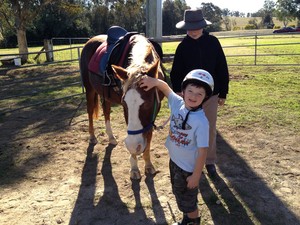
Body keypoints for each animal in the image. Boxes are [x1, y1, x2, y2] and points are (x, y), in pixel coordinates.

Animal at [79, 29, 164, 179]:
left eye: (148, 103)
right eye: (124, 104)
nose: (133, 145)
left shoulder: (153, 113)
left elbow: (148, 136)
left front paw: (148, 164)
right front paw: (134, 168)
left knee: (106, 111)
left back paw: (111, 137)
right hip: (89, 89)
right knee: (90, 111)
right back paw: (92, 137)